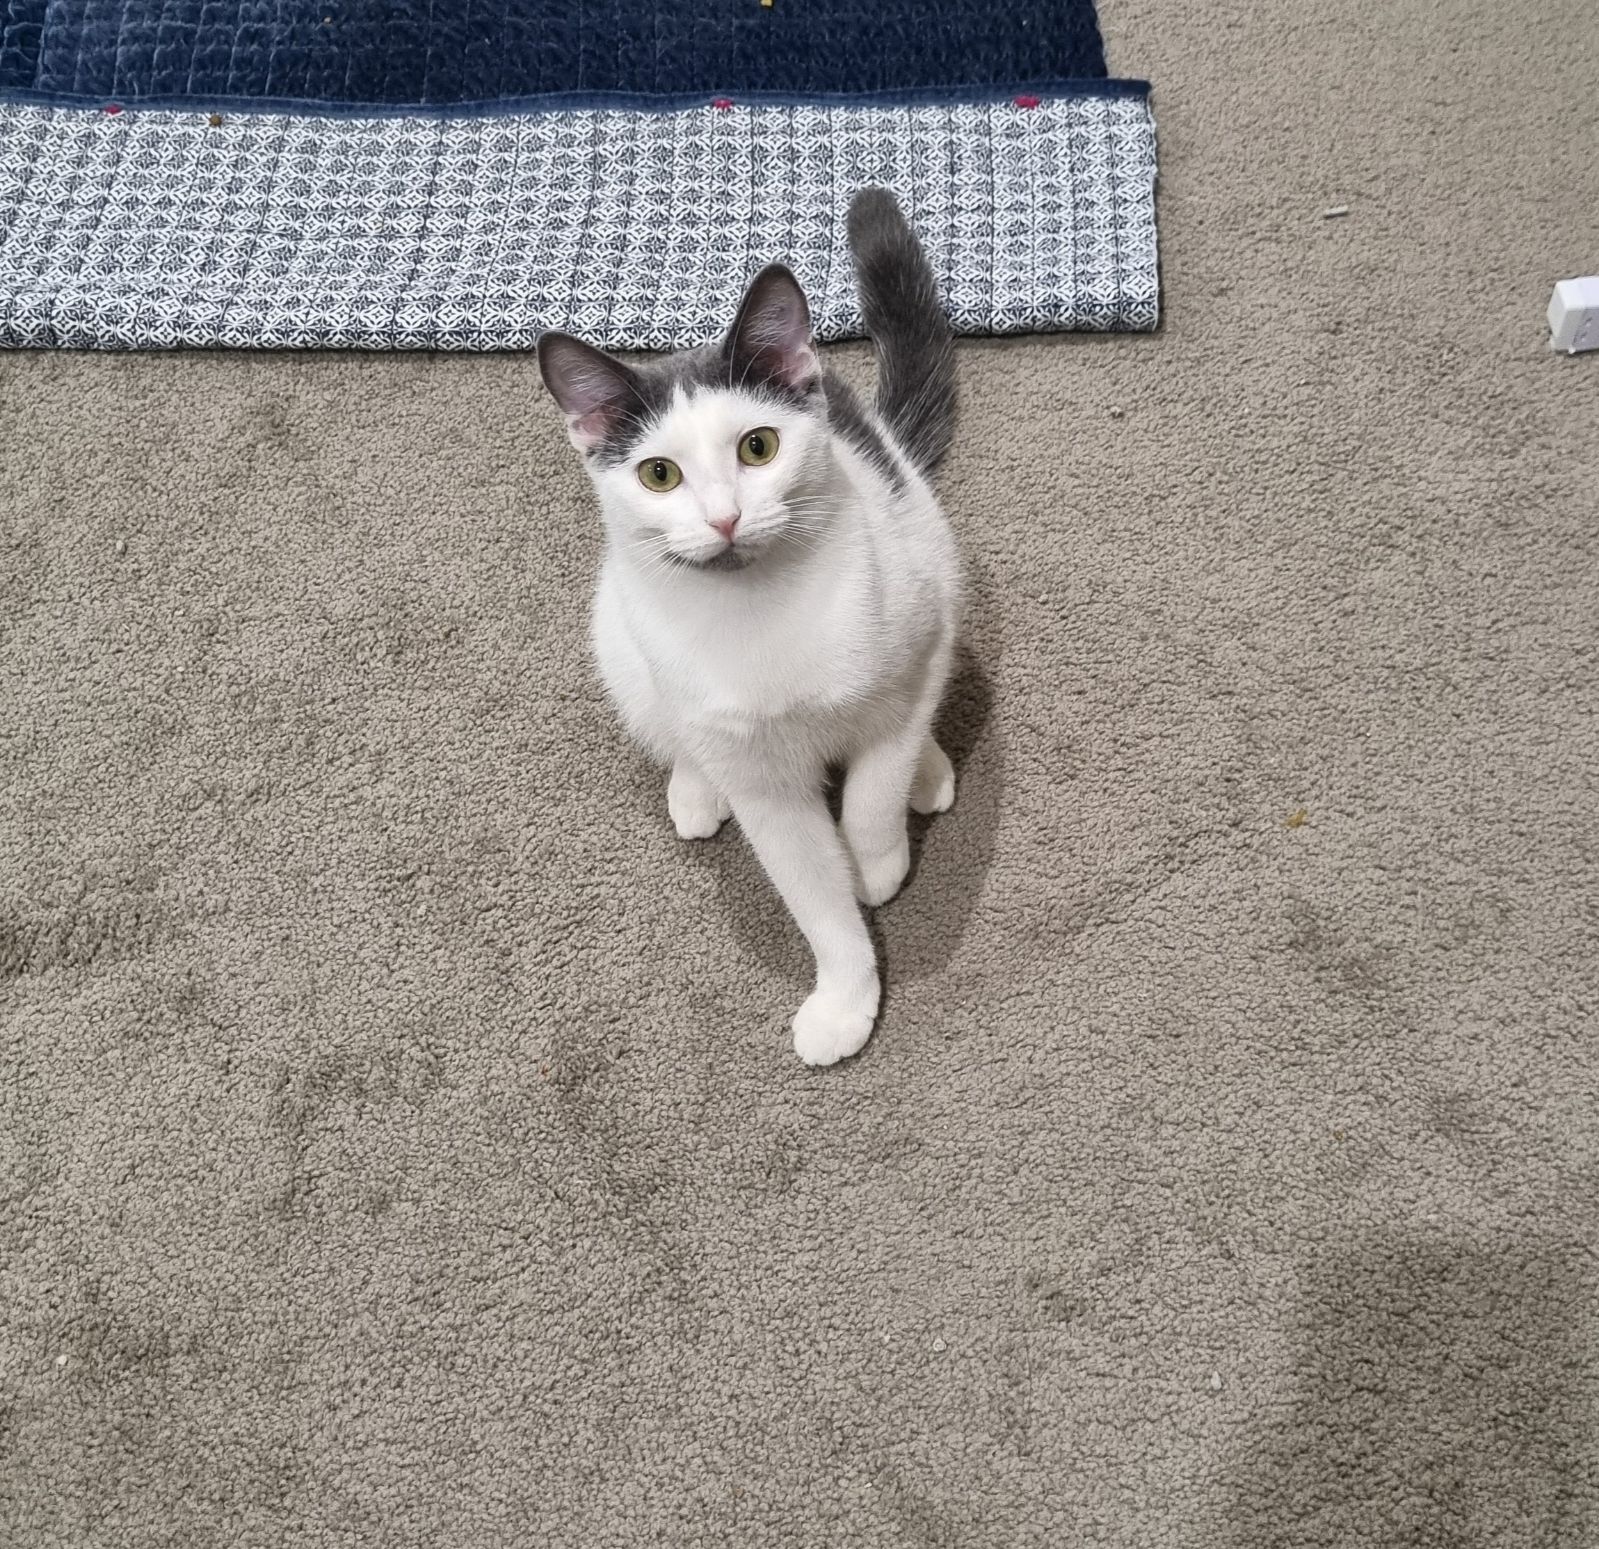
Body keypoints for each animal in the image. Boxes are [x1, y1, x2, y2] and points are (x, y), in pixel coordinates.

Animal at [537, 188, 962, 1066]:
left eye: (758, 447)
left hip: (931, 551)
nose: (725, 518)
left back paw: (930, 772)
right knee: (672, 731)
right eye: (658, 474)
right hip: (619, 644)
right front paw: (844, 997)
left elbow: (870, 796)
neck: (761, 608)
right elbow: (812, 895)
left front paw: (876, 865)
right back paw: (695, 789)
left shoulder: (910, 656)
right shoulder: (765, 786)